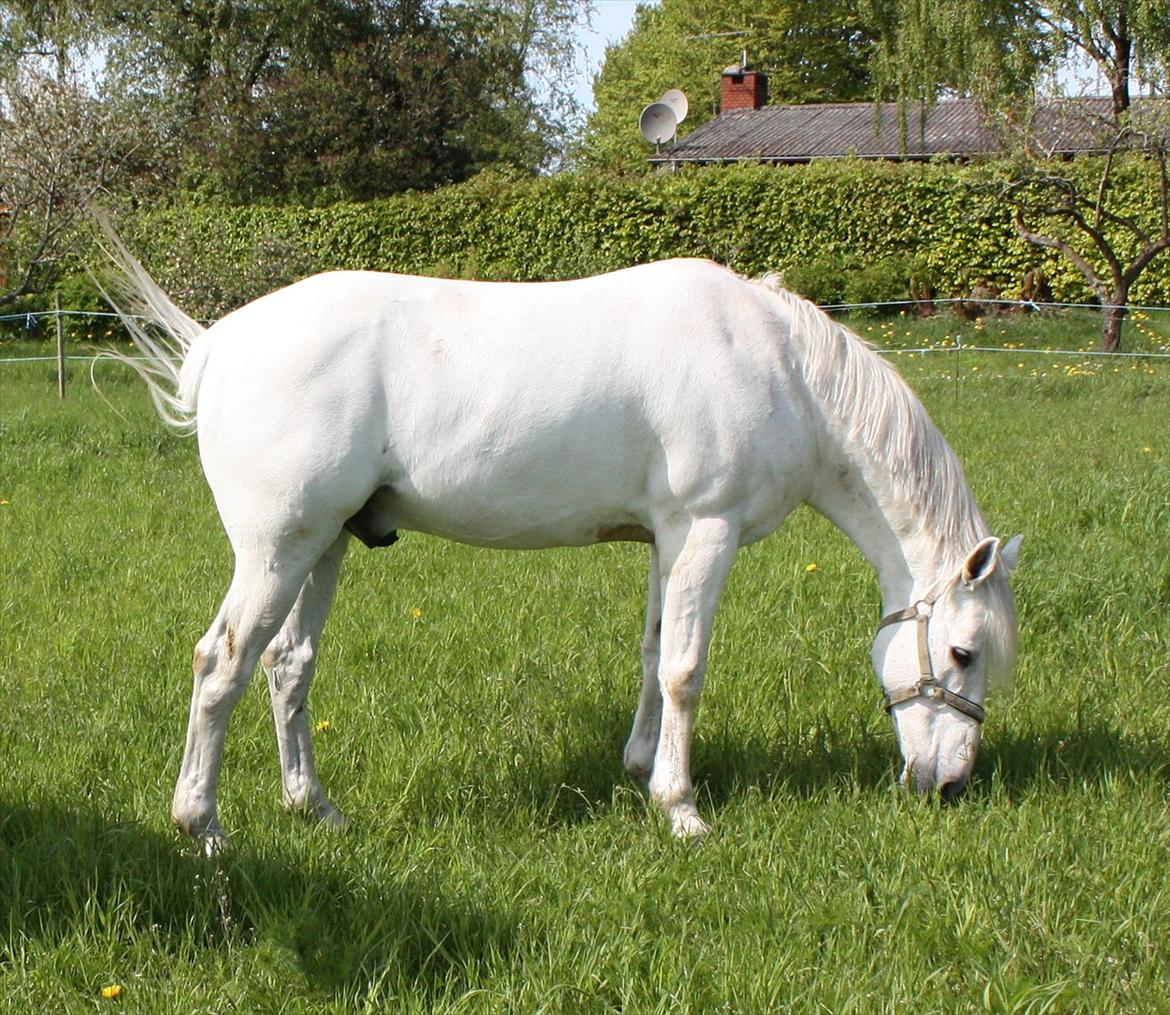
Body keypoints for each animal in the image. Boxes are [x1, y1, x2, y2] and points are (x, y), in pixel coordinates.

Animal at [100, 233, 1020, 846]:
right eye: (963, 653)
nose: (950, 784)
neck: (780, 367)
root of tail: (219, 343)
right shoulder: (706, 531)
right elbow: (686, 671)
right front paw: (682, 807)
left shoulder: (666, 541)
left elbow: (653, 655)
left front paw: (640, 768)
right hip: (278, 548)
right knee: (222, 664)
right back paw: (203, 826)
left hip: (321, 546)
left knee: (288, 666)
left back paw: (316, 808)